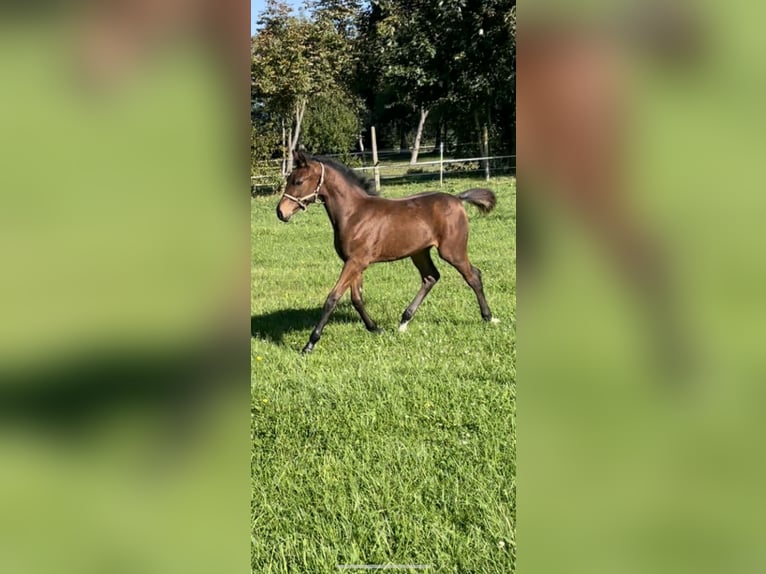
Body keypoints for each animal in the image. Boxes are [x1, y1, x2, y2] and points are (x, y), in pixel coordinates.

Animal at [280, 151, 500, 354]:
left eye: (298, 181)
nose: (280, 212)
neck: (354, 214)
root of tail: (457, 198)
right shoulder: (353, 262)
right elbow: (357, 299)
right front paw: (375, 329)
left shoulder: (356, 262)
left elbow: (332, 299)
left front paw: (310, 344)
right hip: (419, 252)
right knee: (431, 277)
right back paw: (403, 322)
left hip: (452, 250)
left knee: (473, 276)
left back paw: (488, 317)